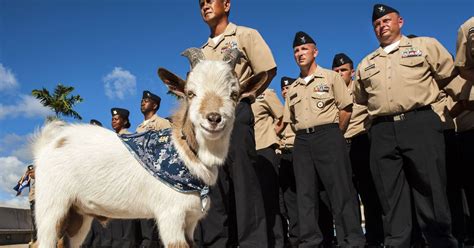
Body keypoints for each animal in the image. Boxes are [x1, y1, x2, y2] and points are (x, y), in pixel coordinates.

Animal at [31, 49, 268, 248]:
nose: (214, 118)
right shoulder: (171, 215)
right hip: (52, 205)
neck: (182, 153)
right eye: (190, 93)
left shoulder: (190, 220)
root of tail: (50, 142)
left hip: (79, 215)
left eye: (234, 94)